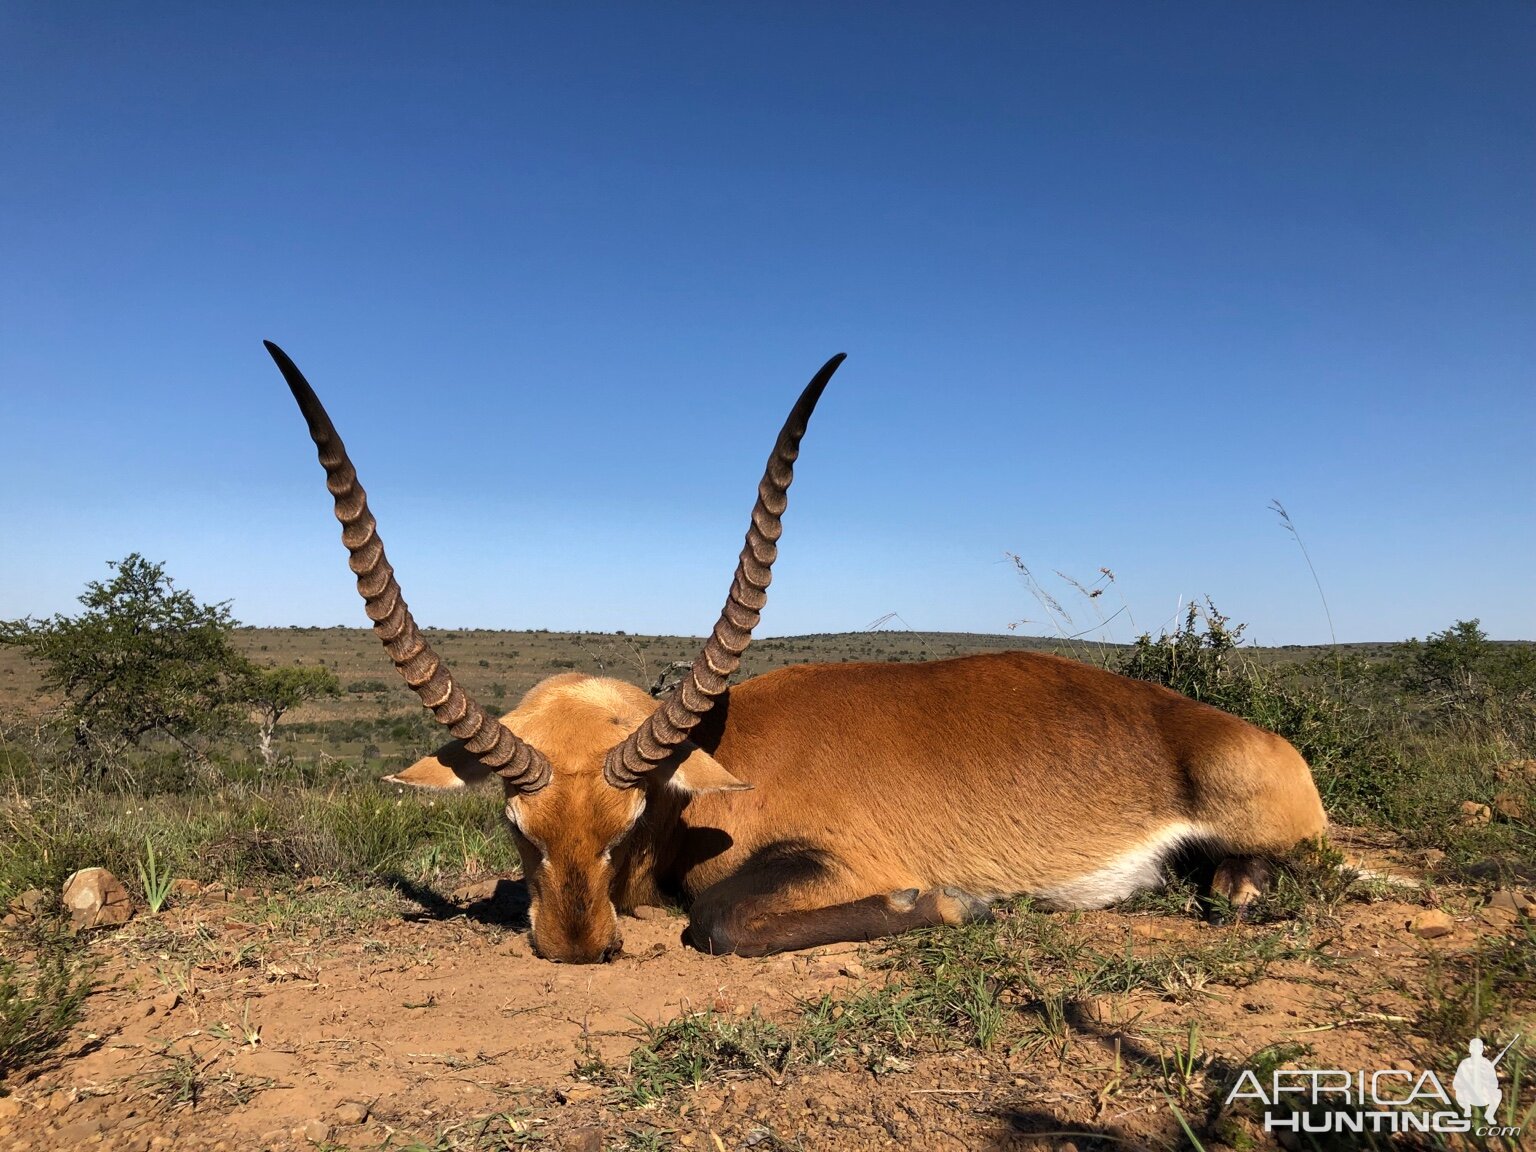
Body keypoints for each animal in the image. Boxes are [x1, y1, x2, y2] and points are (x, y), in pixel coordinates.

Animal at [270, 340, 1327, 964]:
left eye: (624, 824)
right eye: (515, 827)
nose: (576, 947)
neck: (711, 773)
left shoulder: (825, 861)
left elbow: (719, 919)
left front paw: (955, 905)